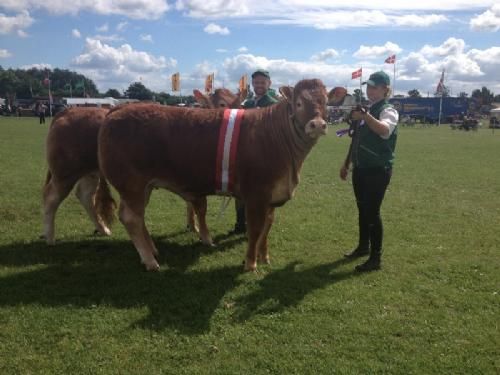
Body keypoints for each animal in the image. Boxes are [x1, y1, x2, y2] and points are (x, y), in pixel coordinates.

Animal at [97, 80, 328, 274]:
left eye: (326, 102)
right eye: (298, 103)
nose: (317, 124)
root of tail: (118, 109)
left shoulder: (272, 195)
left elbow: (266, 227)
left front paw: (264, 257)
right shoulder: (256, 194)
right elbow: (255, 229)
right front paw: (250, 264)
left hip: (144, 187)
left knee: (138, 216)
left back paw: (152, 250)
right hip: (131, 184)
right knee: (131, 218)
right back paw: (150, 261)